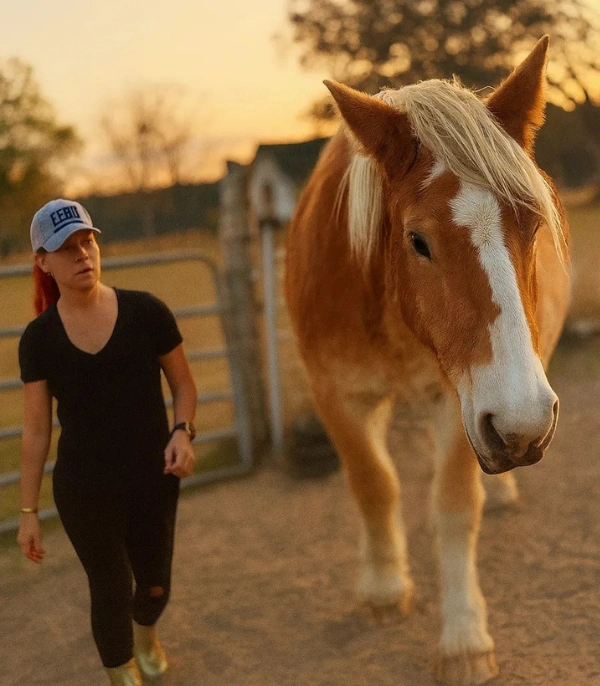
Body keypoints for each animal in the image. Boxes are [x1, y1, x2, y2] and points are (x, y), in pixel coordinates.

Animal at [284, 36, 570, 685]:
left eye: (533, 225)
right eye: (418, 240)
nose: (524, 424)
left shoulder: (462, 402)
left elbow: (454, 505)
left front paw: (464, 637)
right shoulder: (336, 394)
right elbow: (372, 485)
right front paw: (385, 587)